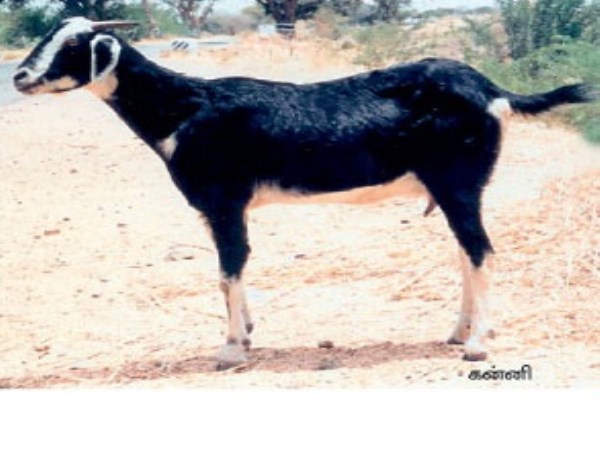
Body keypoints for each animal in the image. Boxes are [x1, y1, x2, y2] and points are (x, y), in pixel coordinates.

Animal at [14, 17, 596, 370]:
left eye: (73, 45)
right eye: (49, 35)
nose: (19, 76)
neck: (186, 108)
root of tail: (495, 90)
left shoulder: (225, 199)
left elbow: (229, 268)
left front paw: (231, 349)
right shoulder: (216, 207)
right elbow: (230, 270)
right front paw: (247, 331)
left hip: (457, 181)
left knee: (481, 251)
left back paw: (476, 345)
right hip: (460, 188)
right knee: (466, 252)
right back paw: (457, 332)